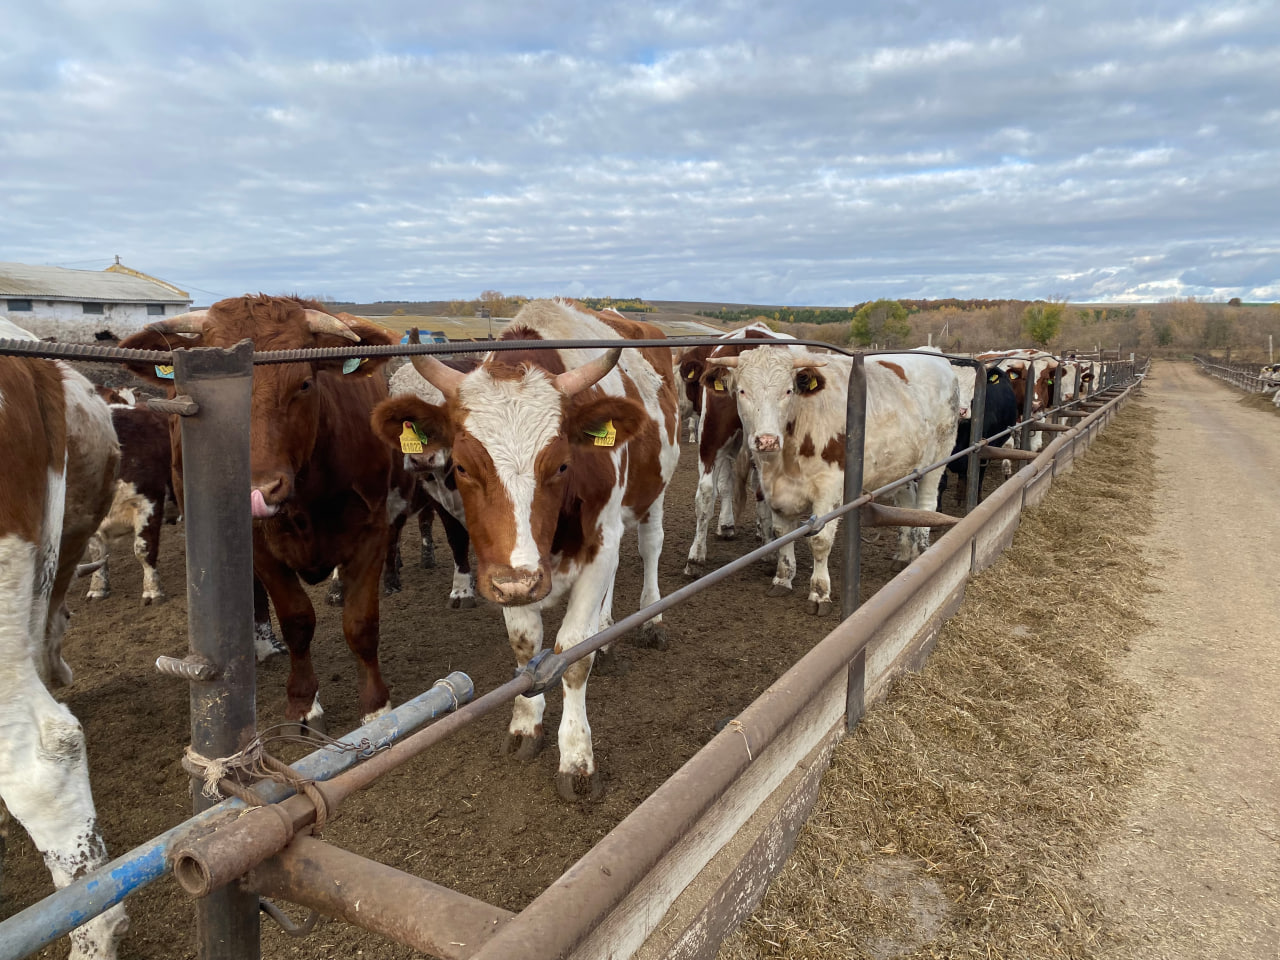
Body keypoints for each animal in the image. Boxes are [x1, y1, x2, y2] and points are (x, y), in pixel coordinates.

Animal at [120, 293, 399, 727]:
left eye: (304, 383)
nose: (258, 491)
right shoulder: (262, 547)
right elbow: (297, 621)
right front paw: (303, 702)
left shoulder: (373, 528)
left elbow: (361, 624)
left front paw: (377, 706)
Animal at [371, 300, 680, 803]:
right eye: (462, 466)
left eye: (561, 464)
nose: (521, 581)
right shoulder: (502, 570)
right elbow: (525, 647)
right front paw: (525, 723)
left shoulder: (597, 543)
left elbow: (573, 656)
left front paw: (576, 757)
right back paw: (607, 629)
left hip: (652, 493)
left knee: (650, 546)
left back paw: (649, 619)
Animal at [701, 348, 962, 616]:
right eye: (742, 390)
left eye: (788, 390)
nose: (767, 440)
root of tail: (934, 354)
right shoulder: (775, 488)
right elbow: (782, 533)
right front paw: (783, 579)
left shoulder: (829, 490)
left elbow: (819, 541)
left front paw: (819, 593)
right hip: (902, 466)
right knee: (907, 503)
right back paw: (903, 555)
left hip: (940, 455)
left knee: (927, 504)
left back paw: (921, 551)